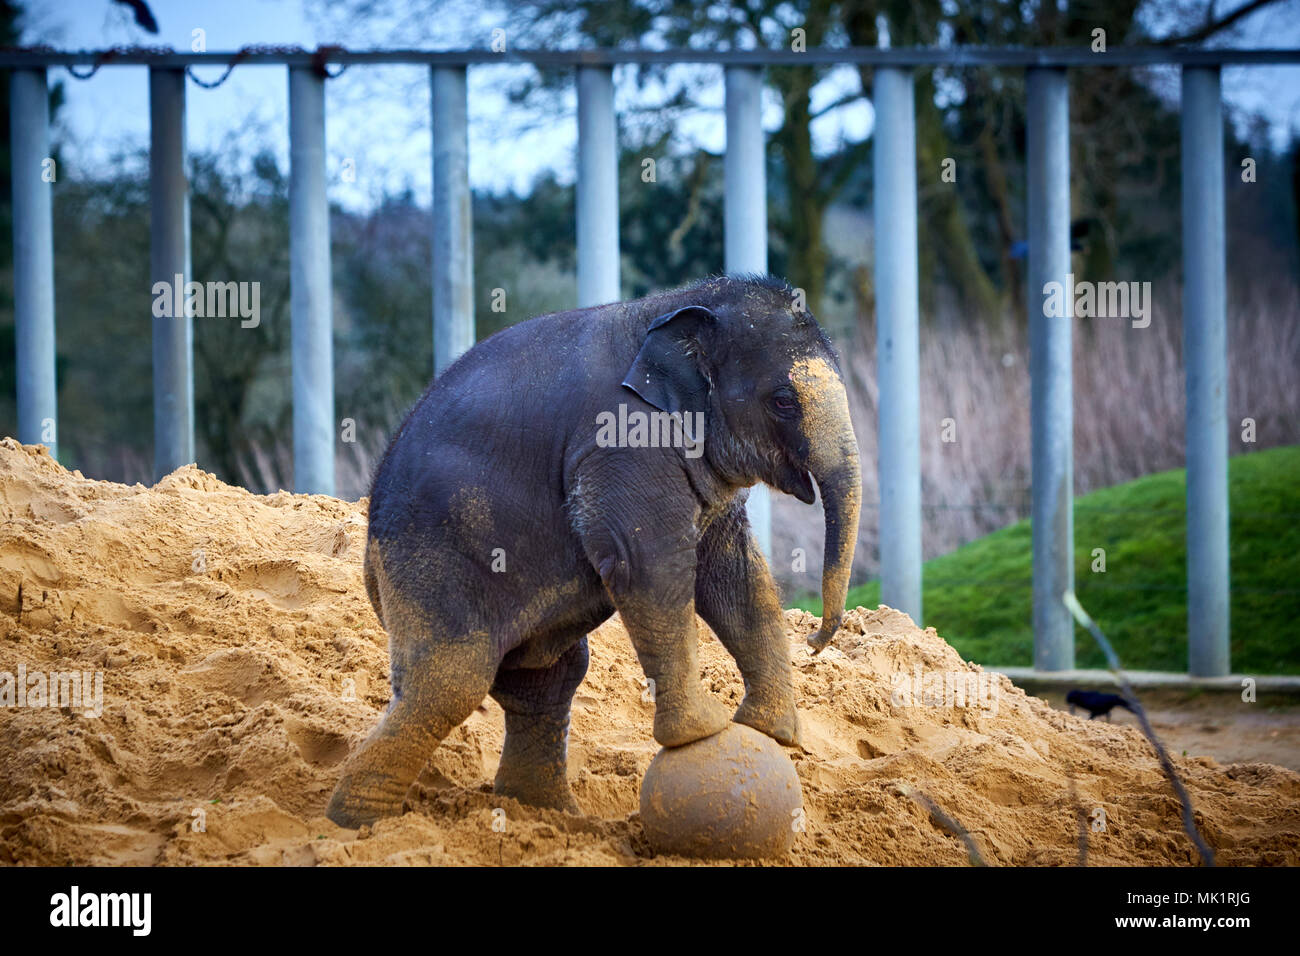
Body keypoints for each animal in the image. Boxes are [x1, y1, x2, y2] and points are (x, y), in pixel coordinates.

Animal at [325, 273, 857, 827]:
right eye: (783, 401)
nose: (816, 640)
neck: (675, 304)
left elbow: (732, 570)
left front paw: (767, 729)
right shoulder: (621, 442)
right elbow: (649, 564)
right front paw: (706, 729)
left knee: (546, 681)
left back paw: (548, 815)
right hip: (427, 567)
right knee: (450, 681)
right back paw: (359, 825)